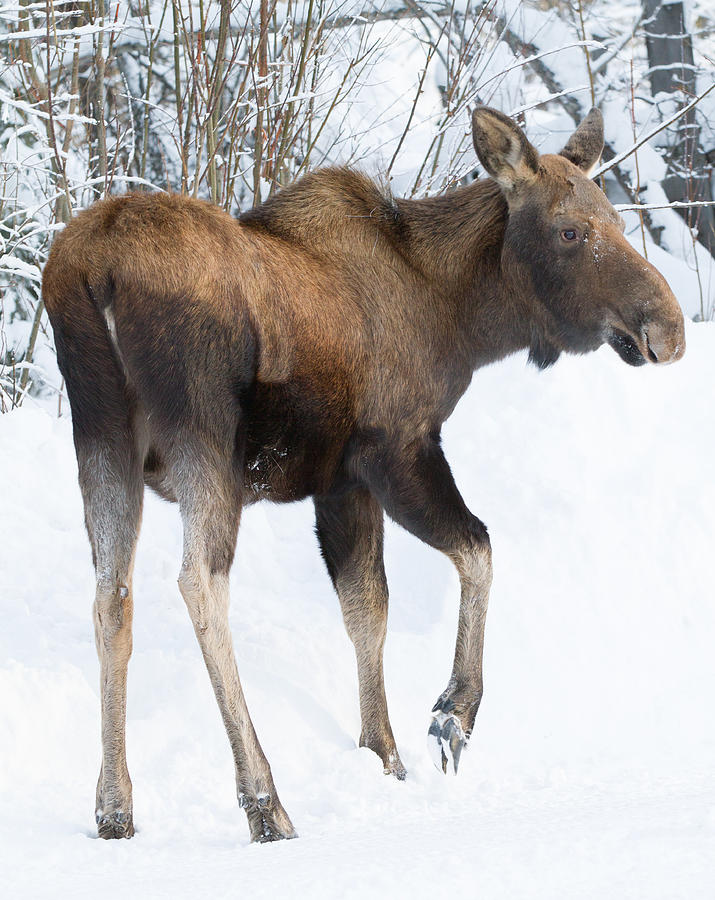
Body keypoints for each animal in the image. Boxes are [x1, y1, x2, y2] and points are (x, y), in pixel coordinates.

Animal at [44, 107, 688, 844]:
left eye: (614, 218)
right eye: (570, 230)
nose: (668, 329)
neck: (459, 318)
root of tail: (91, 272)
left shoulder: (339, 484)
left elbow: (365, 610)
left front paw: (384, 756)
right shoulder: (395, 451)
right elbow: (476, 548)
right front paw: (451, 715)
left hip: (101, 432)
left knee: (111, 595)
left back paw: (114, 807)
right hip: (202, 435)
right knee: (198, 582)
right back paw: (264, 802)